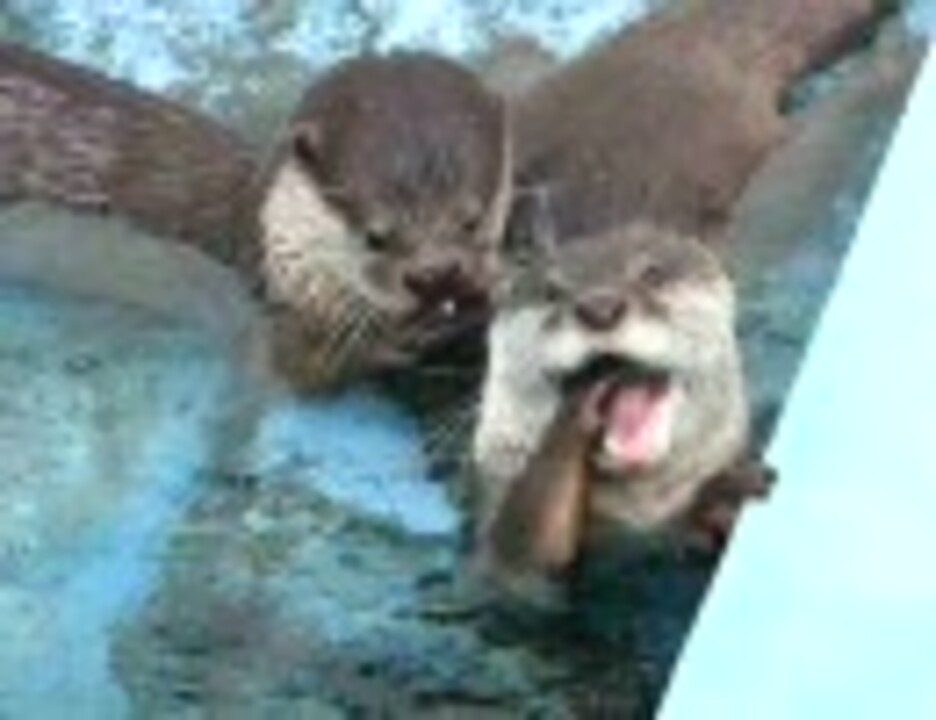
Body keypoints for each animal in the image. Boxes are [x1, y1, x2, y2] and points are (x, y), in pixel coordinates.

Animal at [0, 44, 512, 390]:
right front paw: (414, 334)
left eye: (472, 220)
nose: (436, 275)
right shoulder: (274, 313)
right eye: (376, 236)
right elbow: (306, 369)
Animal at [471, 0, 886, 599]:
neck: (646, 522)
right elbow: (518, 558)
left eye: (651, 274)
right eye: (551, 291)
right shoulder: (496, 533)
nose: (599, 307)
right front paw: (577, 416)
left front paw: (724, 499)